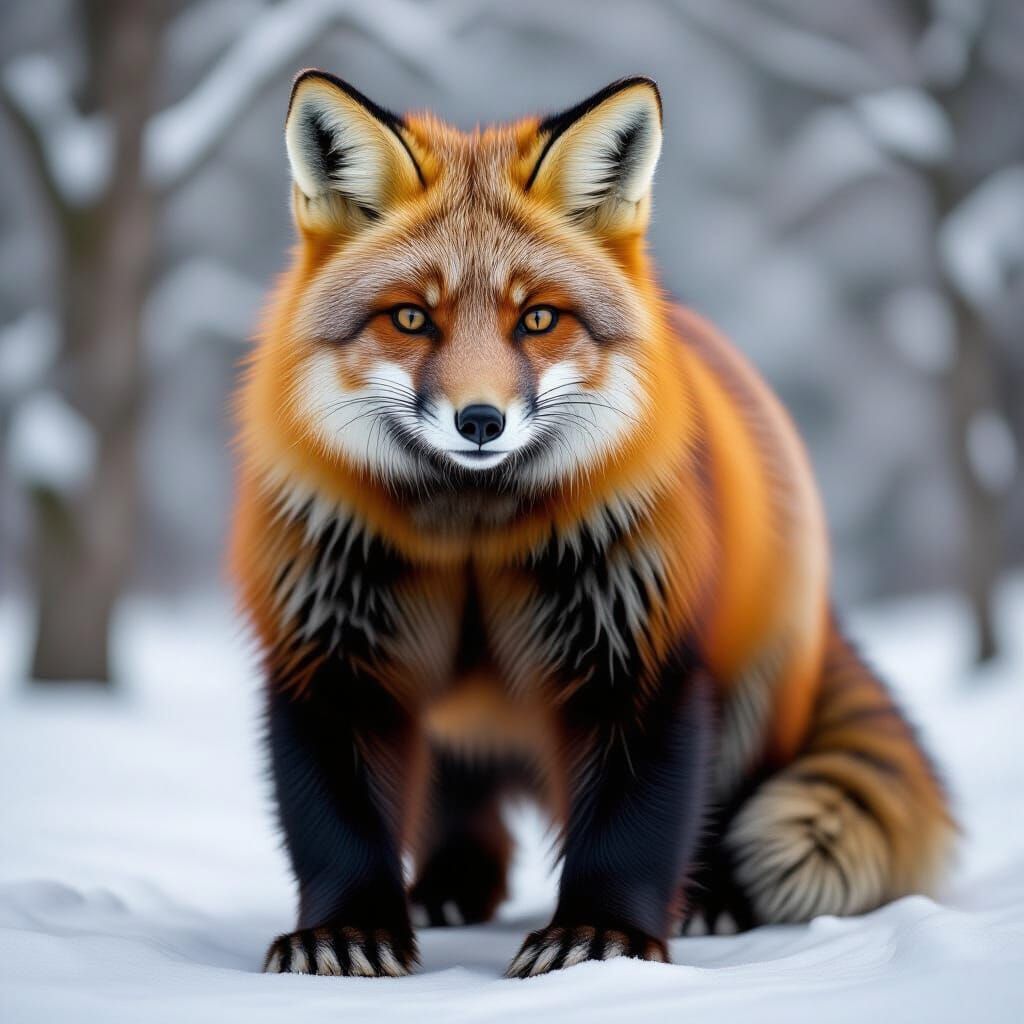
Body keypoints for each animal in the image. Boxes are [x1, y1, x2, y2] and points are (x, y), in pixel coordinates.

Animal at [230, 70, 955, 978]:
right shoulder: (327, 657)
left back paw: (711, 902)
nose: (480, 421)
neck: (473, 536)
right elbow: (337, 828)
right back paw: (449, 889)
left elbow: (629, 829)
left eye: (537, 319)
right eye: (412, 318)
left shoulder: (642, 657)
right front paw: (346, 933)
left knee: (722, 808)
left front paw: (601, 943)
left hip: (748, 709)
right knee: (462, 810)